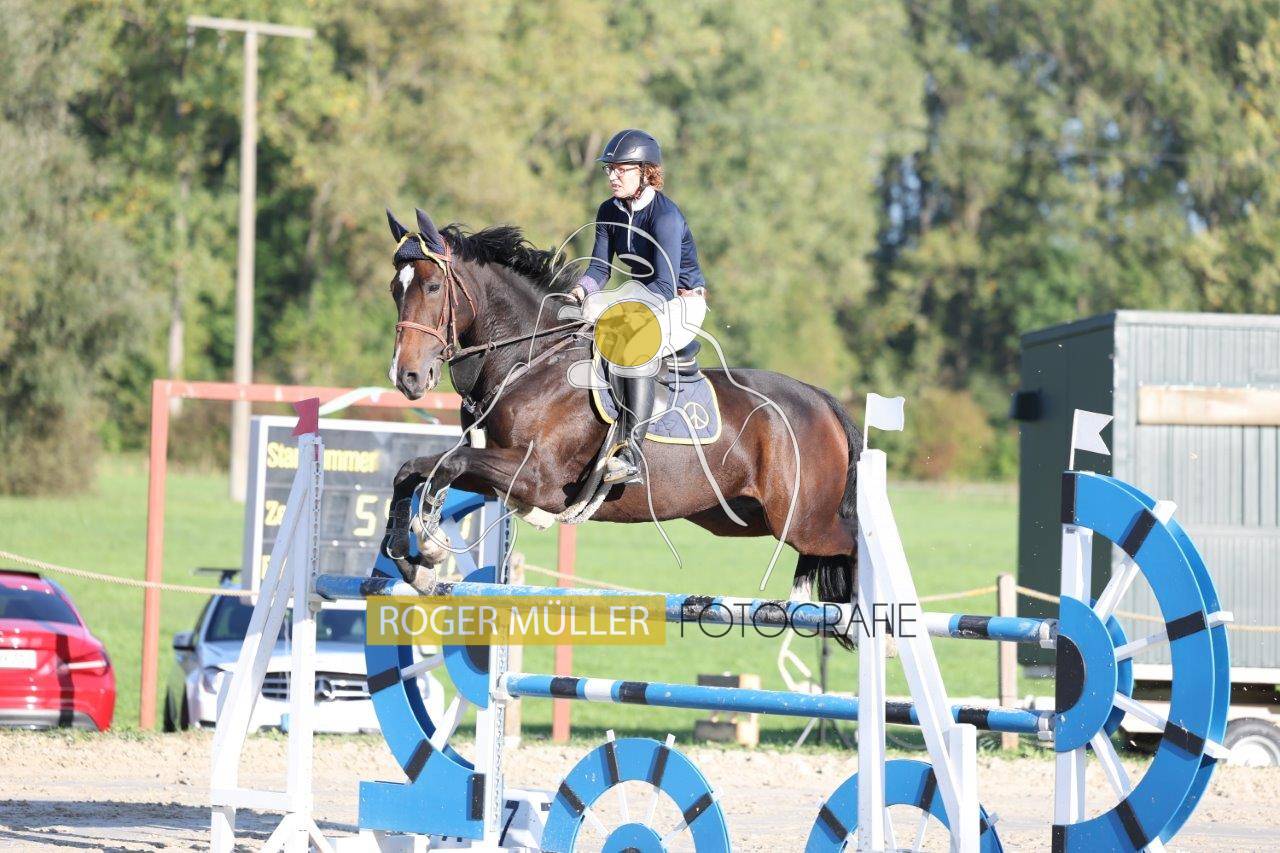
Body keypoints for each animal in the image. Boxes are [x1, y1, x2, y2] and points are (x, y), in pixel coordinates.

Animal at [379, 207, 862, 617]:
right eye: (394, 290)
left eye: (433, 287)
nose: (406, 377)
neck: (530, 361)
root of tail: (820, 399)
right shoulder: (500, 474)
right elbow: (415, 469)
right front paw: (415, 563)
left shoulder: (538, 479)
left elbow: (446, 464)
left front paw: (432, 546)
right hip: (739, 516)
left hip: (803, 519)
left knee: (853, 540)